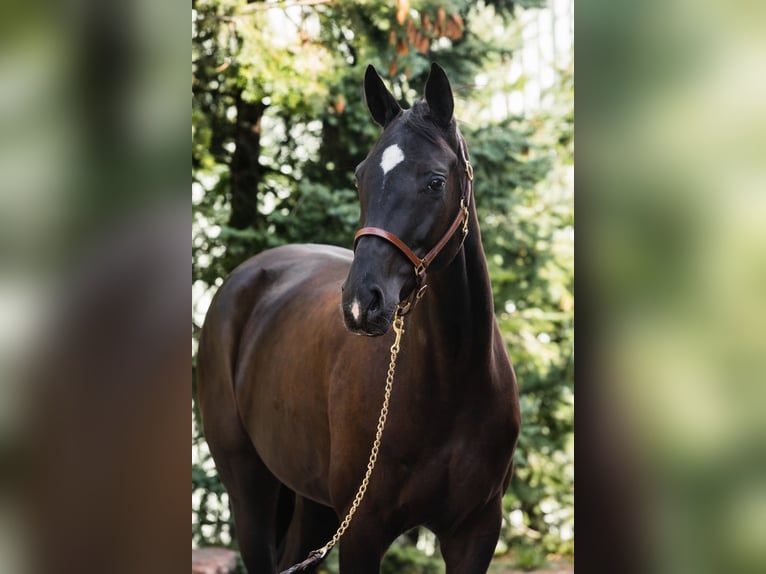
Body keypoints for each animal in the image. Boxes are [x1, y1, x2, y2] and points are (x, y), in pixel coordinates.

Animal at [196, 64, 520, 574]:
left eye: (435, 181)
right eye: (360, 177)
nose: (360, 303)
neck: (452, 381)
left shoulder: (476, 532)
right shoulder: (363, 531)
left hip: (315, 506)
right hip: (251, 492)